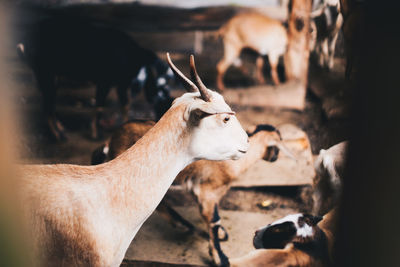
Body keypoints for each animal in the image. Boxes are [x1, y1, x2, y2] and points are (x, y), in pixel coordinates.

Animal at [92, 121, 296, 266]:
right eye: (277, 148)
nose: (275, 157)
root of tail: (110, 142)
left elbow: (214, 219)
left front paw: (219, 237)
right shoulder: (208, 191)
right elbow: (213, 219)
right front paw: (220, 258)